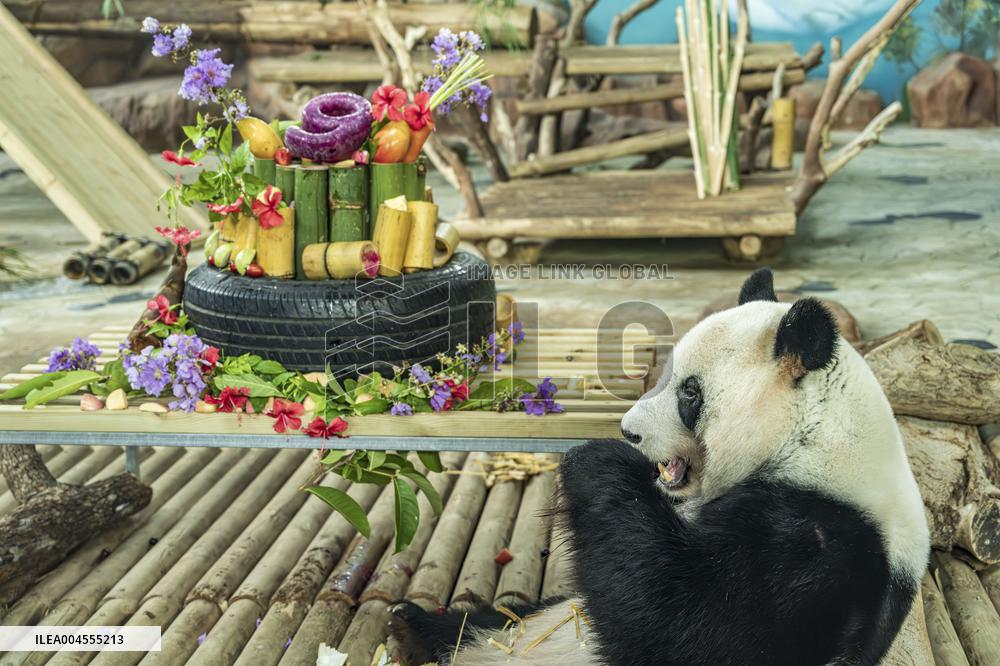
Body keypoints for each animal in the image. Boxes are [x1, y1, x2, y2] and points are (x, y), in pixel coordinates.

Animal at [389, 268, 930, 666]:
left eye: (689, 391)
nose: (629, 431)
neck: (812, 439)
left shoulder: (816, 554)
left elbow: (681, 623)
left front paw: (597, 461)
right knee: (493, 620)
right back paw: (409, 625)